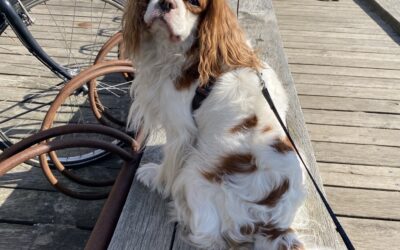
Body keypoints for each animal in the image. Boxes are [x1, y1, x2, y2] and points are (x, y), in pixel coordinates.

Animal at [123, 0, 304, 249]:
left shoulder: (180, 131)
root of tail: (273, 225)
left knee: (206, 234)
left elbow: (169, 166)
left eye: (194, 3)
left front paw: (154, 176)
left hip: (194, 175)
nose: (166, 3)